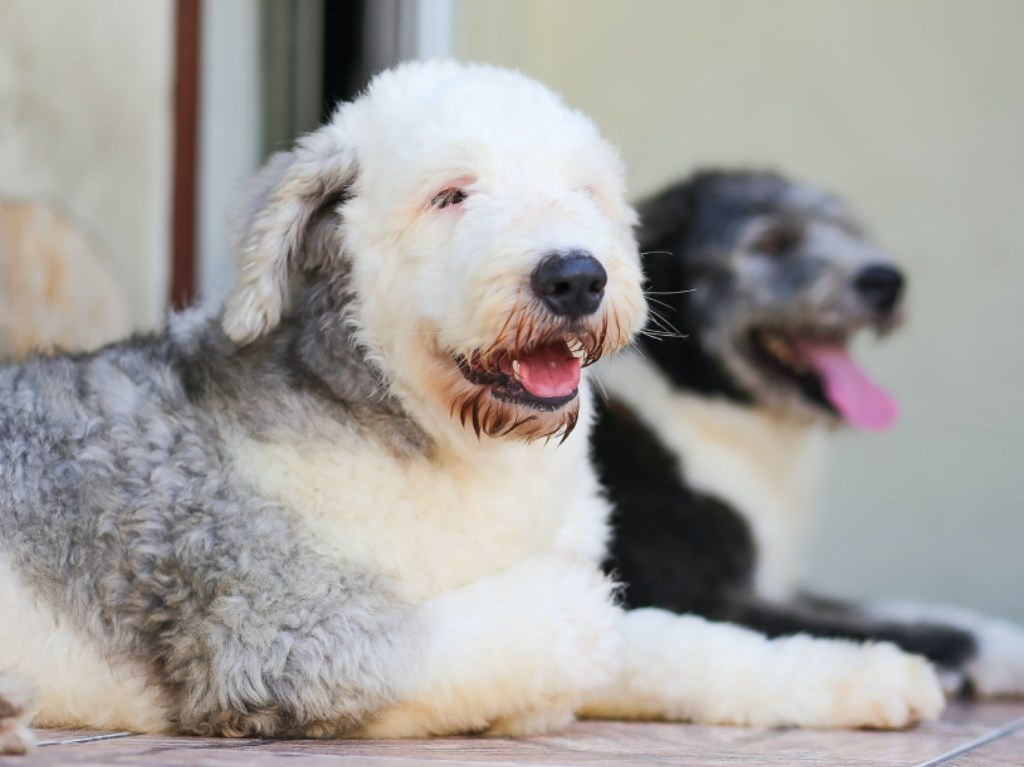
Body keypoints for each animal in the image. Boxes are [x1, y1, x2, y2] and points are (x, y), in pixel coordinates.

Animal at [2, 61, 942, 749]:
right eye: (452, 194)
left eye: (584, 192)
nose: (576, 276)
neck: (453, 449)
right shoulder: (278, 631)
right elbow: (560, 619)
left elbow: (691, 645)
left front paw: (871, 674)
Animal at [593, 171, 1024, 696]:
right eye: (770, 242)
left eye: (846, 229)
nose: (885, 280)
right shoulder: (690, 600)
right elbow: (882, 629)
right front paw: (998, 650)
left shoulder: (780, 585)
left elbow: (886, 608)